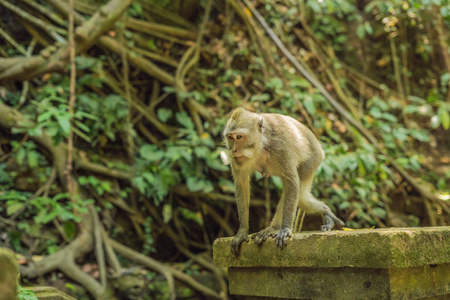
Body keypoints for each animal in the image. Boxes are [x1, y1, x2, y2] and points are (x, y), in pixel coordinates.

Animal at [222, 108, 344, 255]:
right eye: (230, 137)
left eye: (239, 137)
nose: (233, 150)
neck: (261, 144)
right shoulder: (237, 161)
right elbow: (241, 184)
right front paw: (242, 232)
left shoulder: (280, 147)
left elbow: (292, 182)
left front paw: (285, 228)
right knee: (301, 197)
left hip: (313, 160)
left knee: (299, 195)